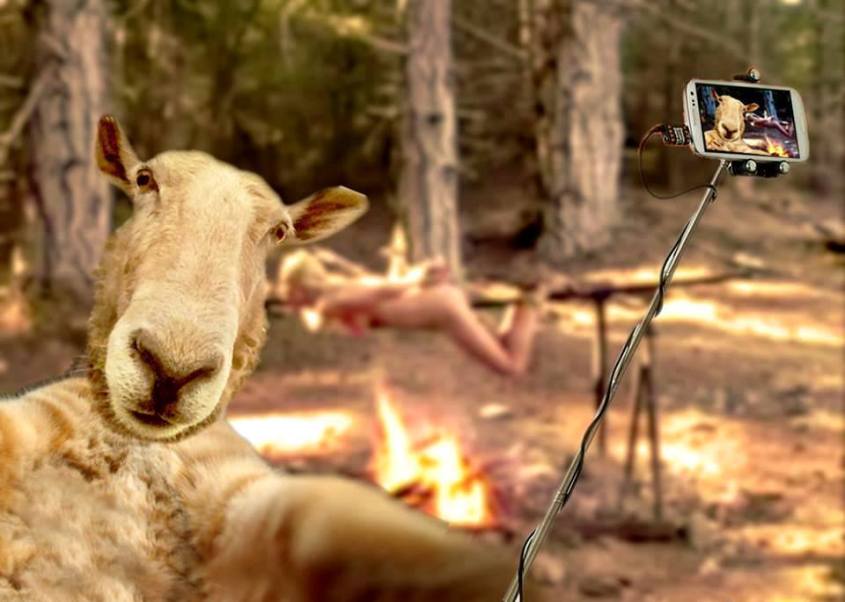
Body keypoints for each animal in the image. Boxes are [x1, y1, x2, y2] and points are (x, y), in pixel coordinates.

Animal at [0, 116, 547, 601]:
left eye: (279, 231)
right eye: (144, 180)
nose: (171, 370)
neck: (139, 448)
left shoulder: (238, 494)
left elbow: (342, 522)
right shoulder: (38, 422)